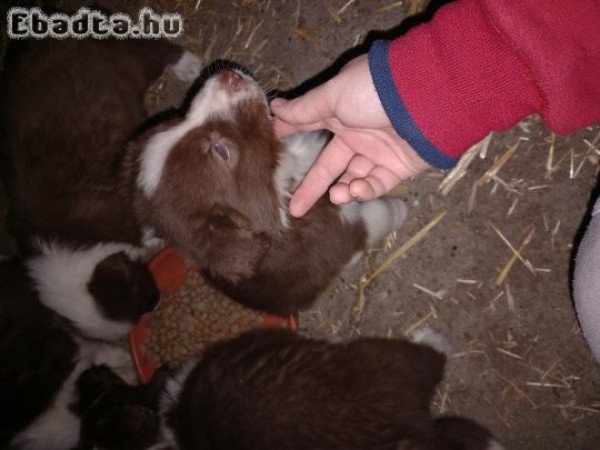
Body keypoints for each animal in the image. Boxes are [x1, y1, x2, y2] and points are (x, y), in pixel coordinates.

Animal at [128, 68, 406, 314]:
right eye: (221, 150)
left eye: (178, 121)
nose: (229, 76)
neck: (280, 182)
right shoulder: (339, 232)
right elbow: (377, 216)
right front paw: (400, 208)